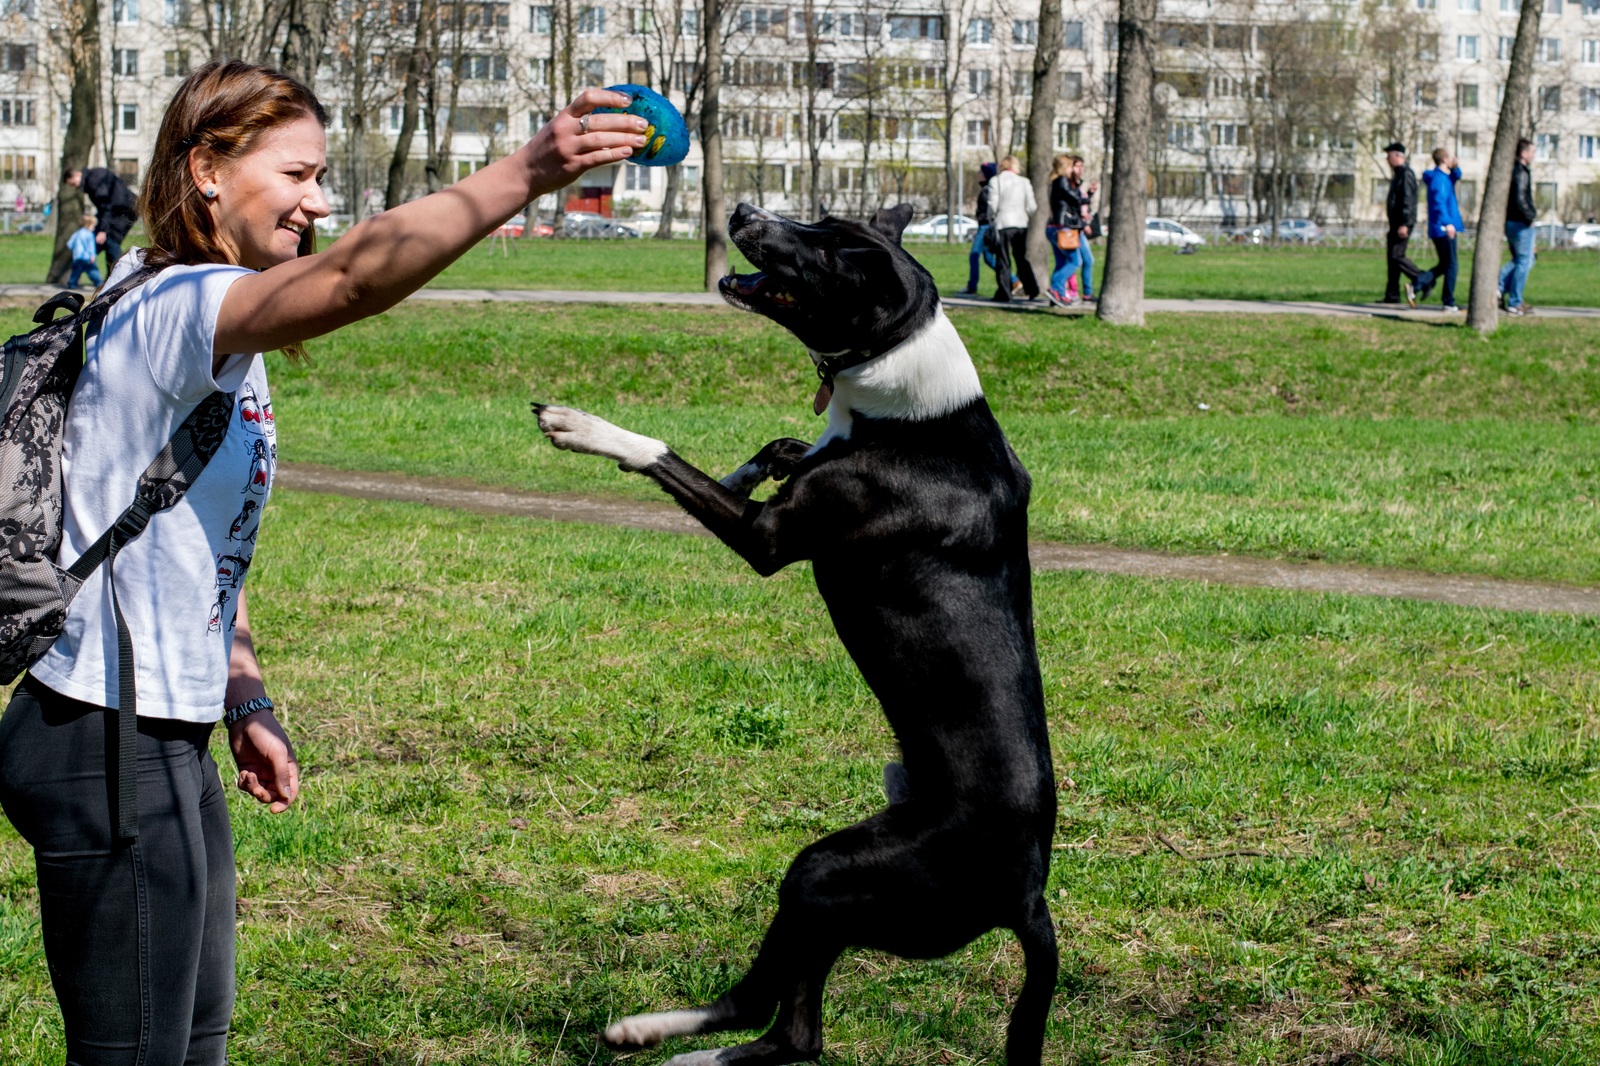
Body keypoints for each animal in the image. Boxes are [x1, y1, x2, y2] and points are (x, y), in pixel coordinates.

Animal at [537, 201, 1056, 1062]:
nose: (744, 210)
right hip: (830, 889)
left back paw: (683, 1049)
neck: (906, 394)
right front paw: (765, 459)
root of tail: (1028, 897)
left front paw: (590, 429)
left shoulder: (767, 540)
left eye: (825, 249)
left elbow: (668, 457)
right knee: (777, 1013)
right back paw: (658, 1031)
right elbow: (779, 448)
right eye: (825, 218)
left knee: (785, 1024)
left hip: (829, 875)